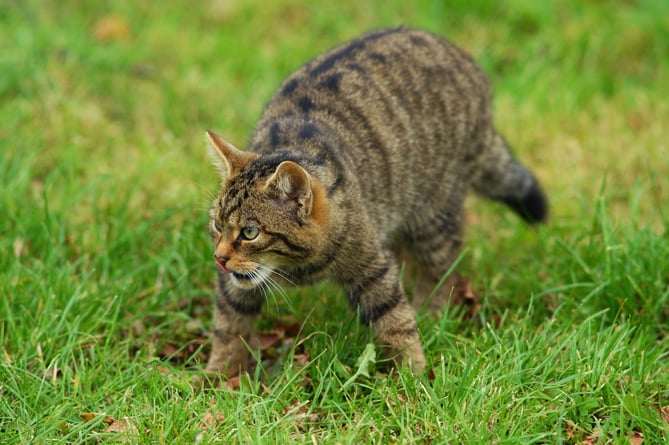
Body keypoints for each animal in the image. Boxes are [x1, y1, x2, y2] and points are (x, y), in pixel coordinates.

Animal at [201, 26, 544, 378]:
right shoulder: (234, 286)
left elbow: (395, 321)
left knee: (442, 267)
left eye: (250, 233)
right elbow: (229, 325)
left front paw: (413, 375)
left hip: (431, 216)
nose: (219, 258)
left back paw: (430, 312)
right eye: (217, 225)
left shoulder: (373, 267)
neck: (298, 268)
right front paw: (217, 377)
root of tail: (460, 56)